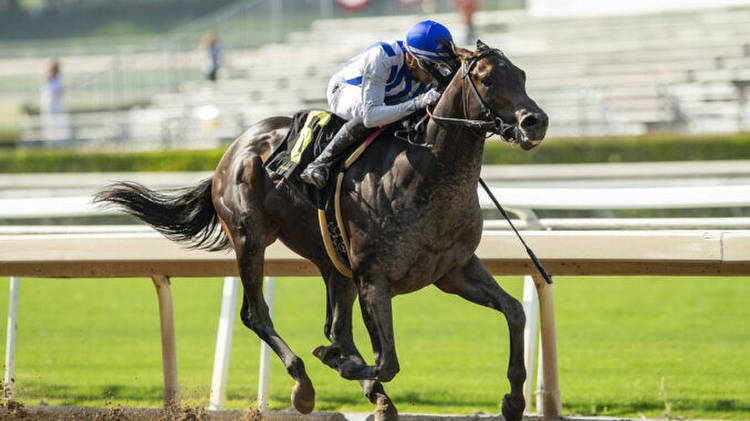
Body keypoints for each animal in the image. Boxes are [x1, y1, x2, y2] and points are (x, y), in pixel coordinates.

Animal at [97, 41, 548, 420]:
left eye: (523, 75)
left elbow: (515, 311)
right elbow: (388, 360)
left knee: (336, 327)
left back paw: (372, 393)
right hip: (250, 237)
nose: (535, 122)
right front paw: (339, 365)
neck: (426, 172)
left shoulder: (453, 269)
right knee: (257, 314)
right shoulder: (374, 278)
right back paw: (305, 385)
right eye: (487, 78)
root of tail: (235, 147)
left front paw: (513, 400)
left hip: (331, 258)